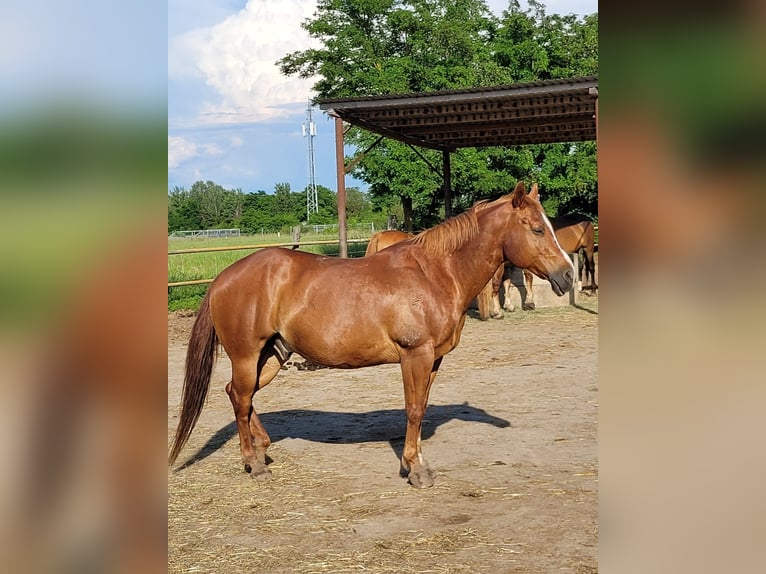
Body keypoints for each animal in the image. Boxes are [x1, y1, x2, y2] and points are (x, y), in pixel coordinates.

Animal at [170, 183, 576, 490]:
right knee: (240, 399)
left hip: (271, 356)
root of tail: (224, 277)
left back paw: (262, 449)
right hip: (246, 355)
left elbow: (421, 407)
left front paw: (418, 464)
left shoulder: (434, 359)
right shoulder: (415, 354)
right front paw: (416, 471)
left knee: (241, 395)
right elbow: (413, 410)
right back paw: (254, 464)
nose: (568, 275)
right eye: (537, 229)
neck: (435, 274)